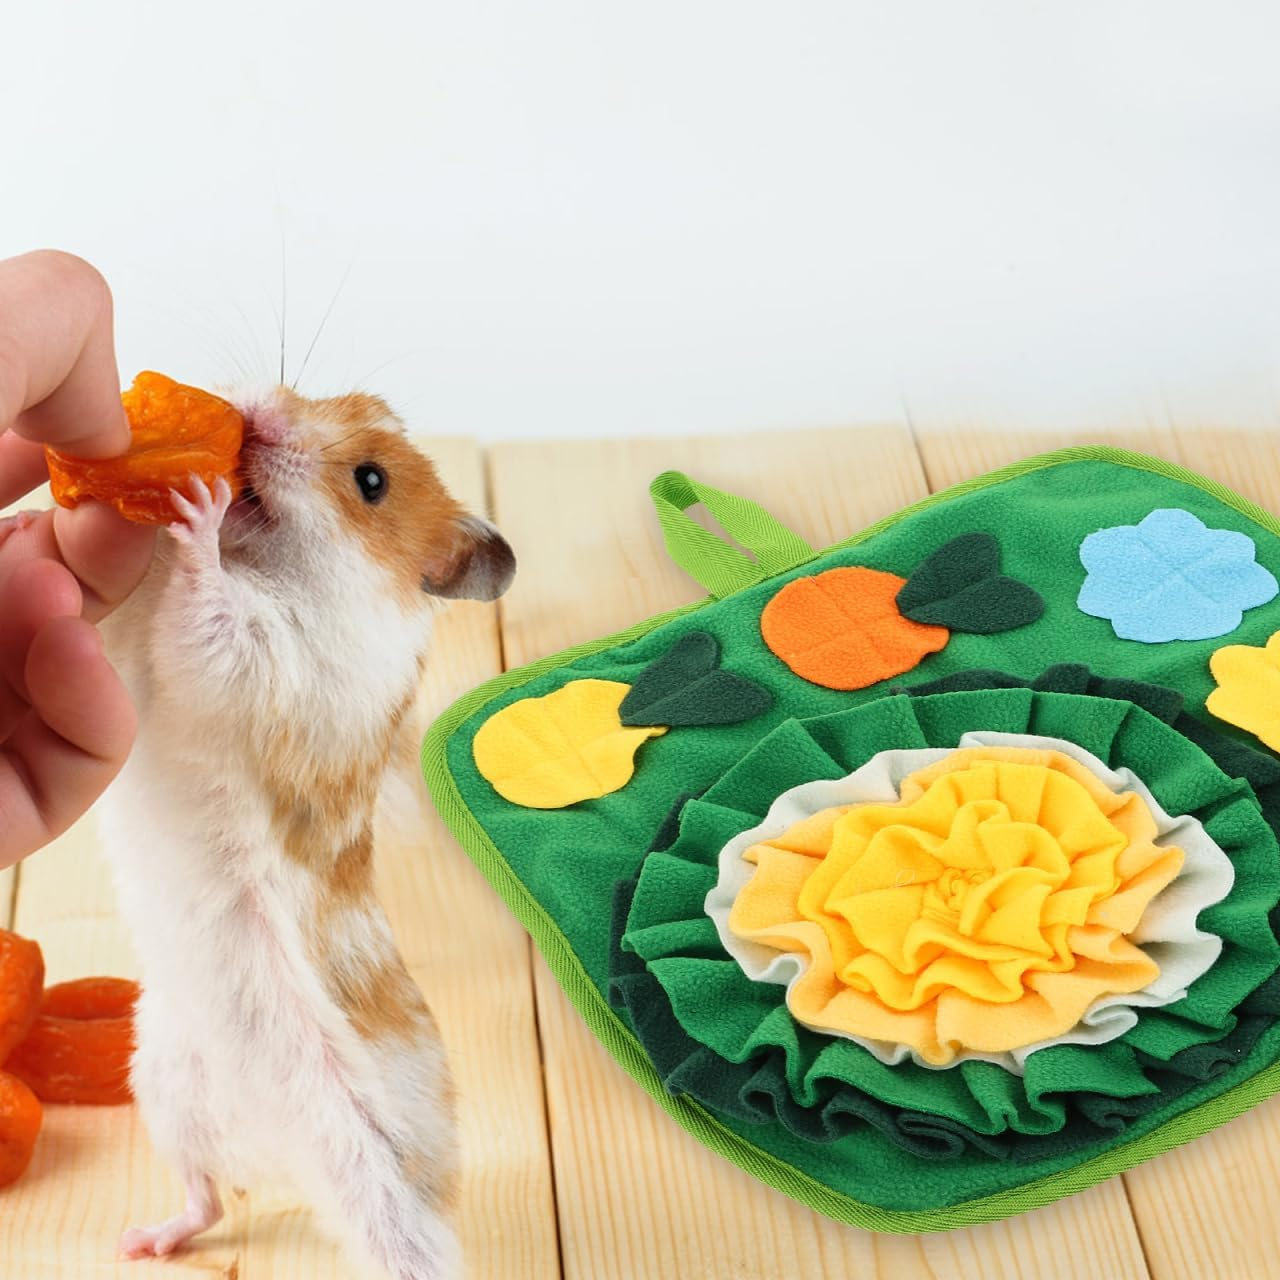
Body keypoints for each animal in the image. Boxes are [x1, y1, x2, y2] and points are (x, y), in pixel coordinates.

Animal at [96, 385, 514, 1279]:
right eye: (337, 397)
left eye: (371, 481)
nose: (257, 414)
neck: (274, 559)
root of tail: (282, 1168)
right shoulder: (134, 637)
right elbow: (133, 612)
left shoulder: (271, 665)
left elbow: (209, 614)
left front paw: (198, 512)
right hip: (168, 1079)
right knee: (210, 1194)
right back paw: (144, 1241)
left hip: (373, 1171)